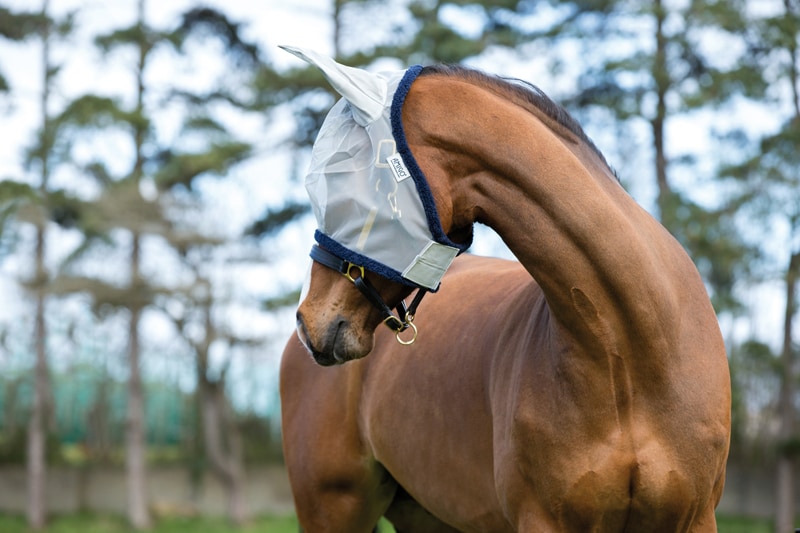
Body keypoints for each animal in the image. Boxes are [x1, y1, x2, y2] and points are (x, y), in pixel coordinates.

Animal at [280, 47, 732, 528]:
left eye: (338, 181)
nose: (310, 321)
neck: (631, 354)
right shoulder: (542, 520)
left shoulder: (697, 518)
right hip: (333, 509)